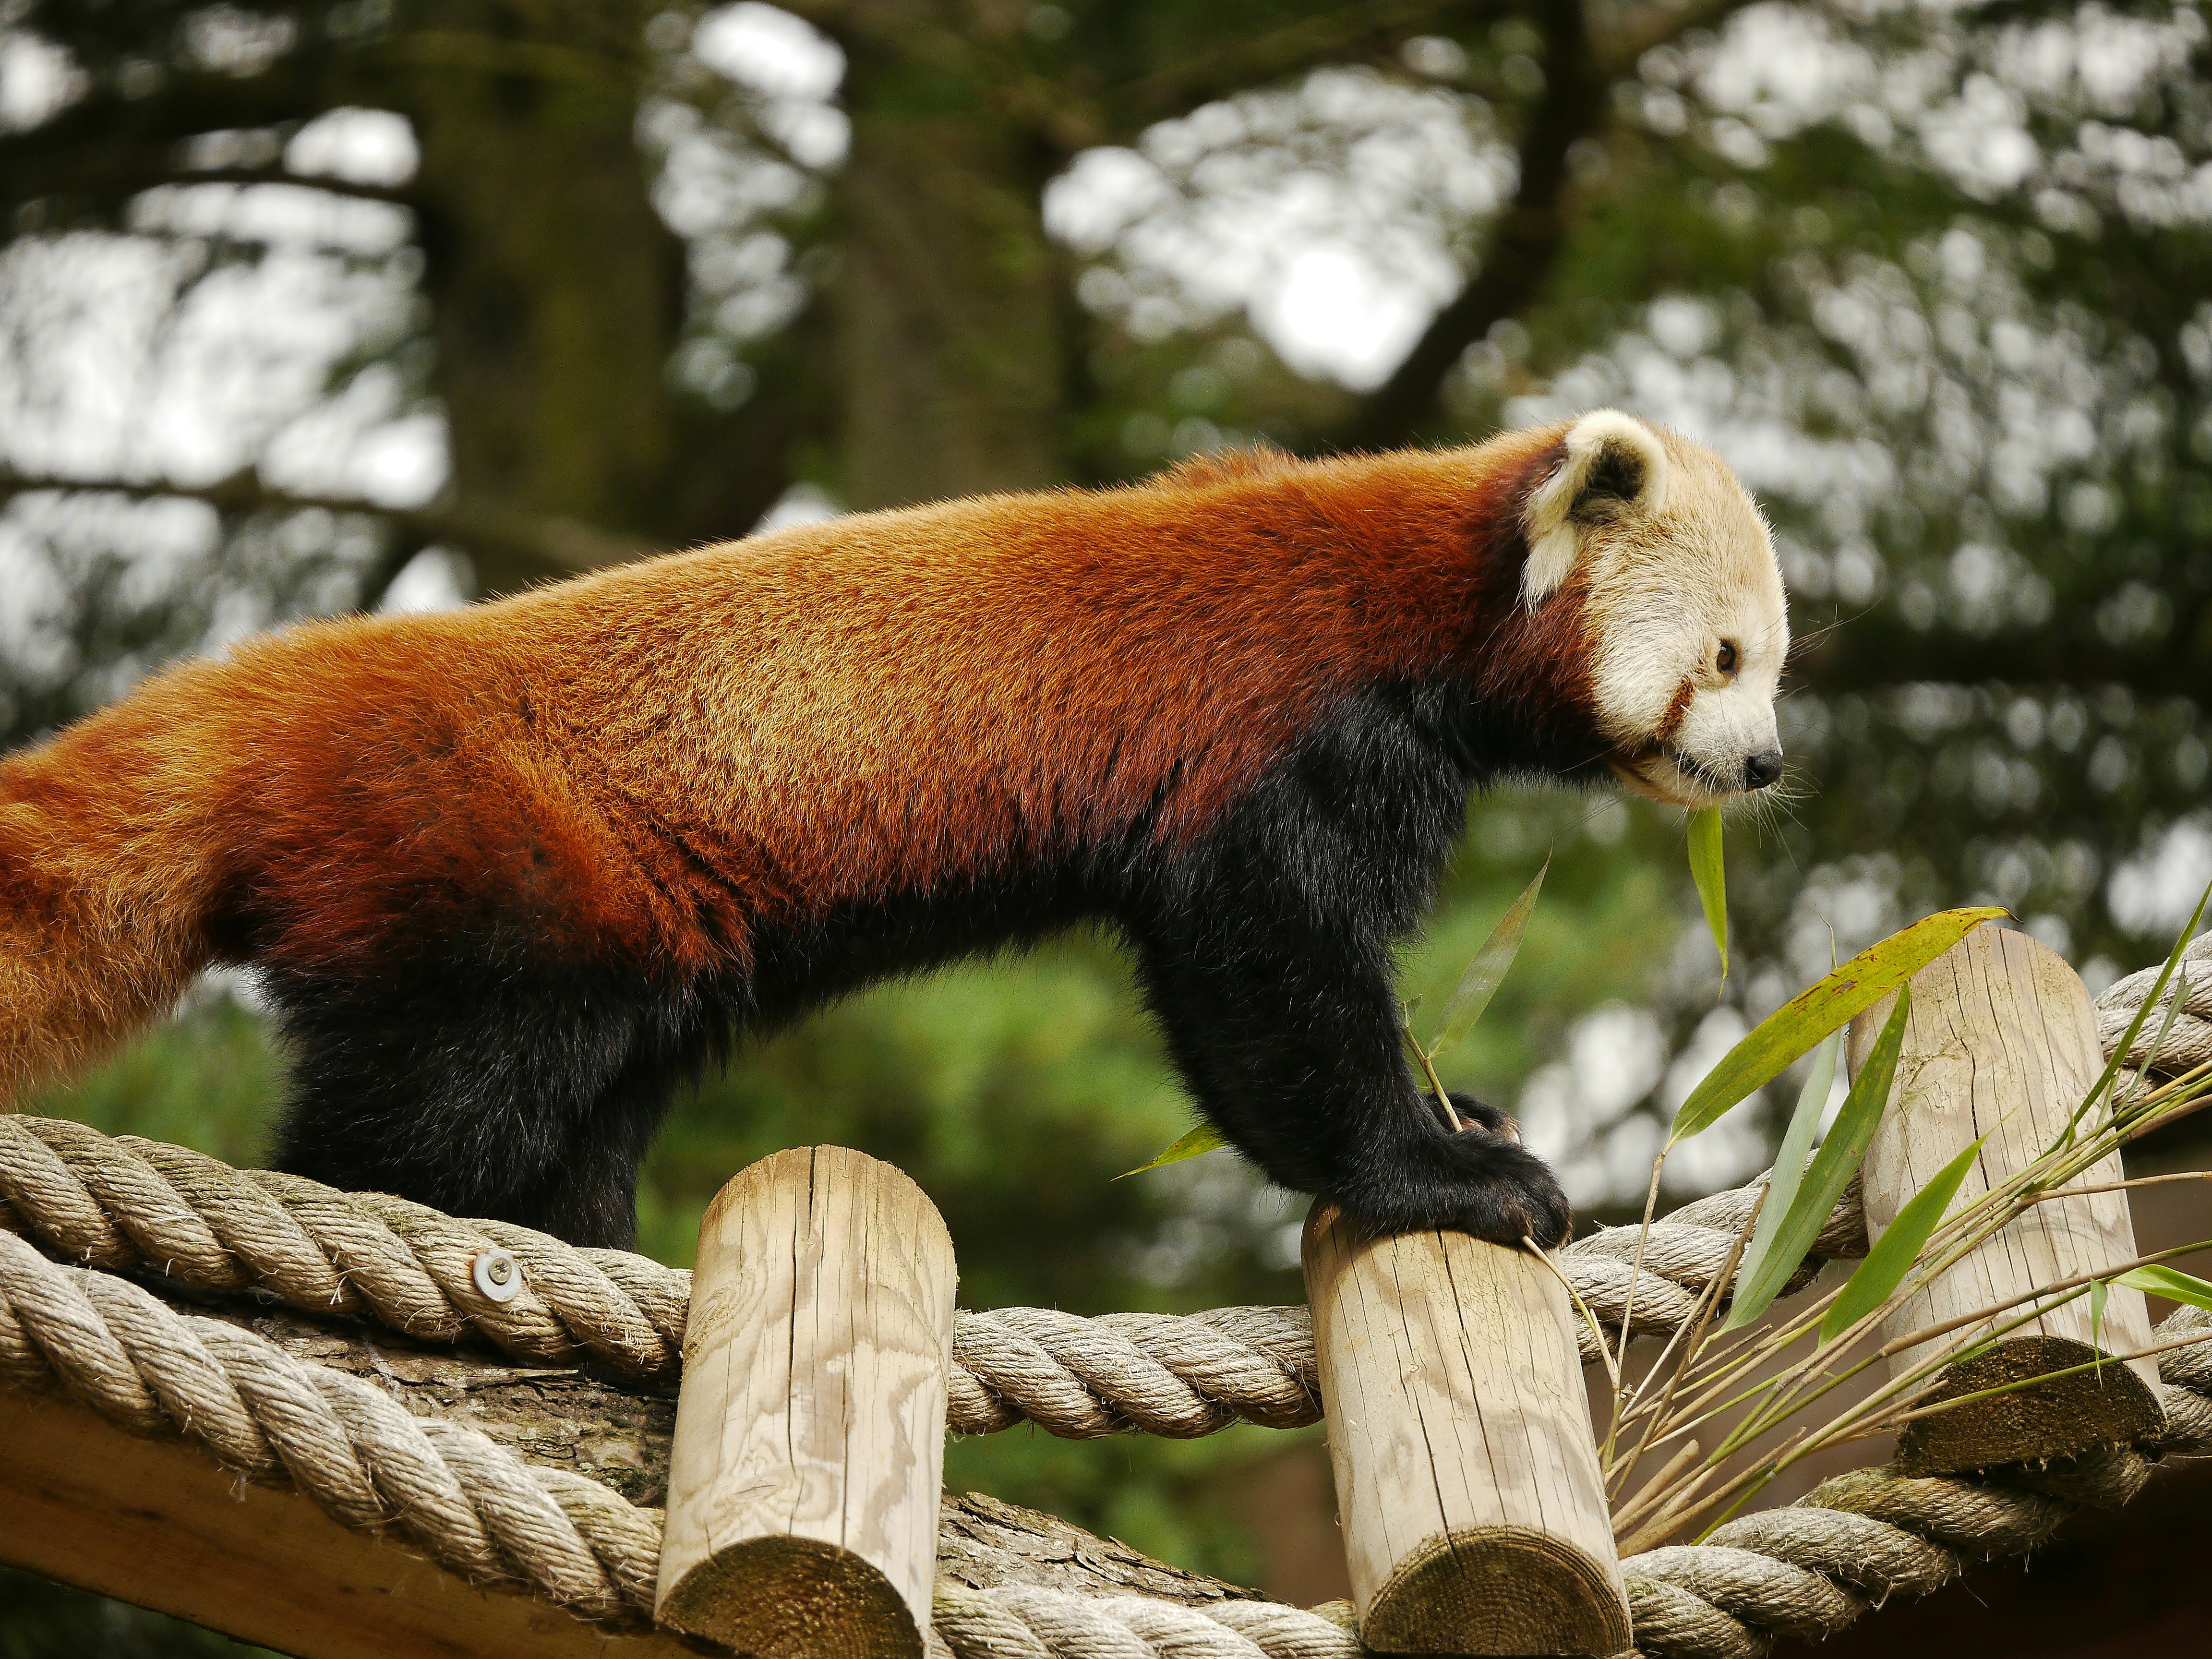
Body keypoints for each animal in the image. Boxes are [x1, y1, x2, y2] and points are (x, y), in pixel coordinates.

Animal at [0, 410, 1788, 1250]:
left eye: (1776, 662)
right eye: (1725, 659)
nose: (1767, 765)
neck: (1425, 595)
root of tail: (278, 690)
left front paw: (1457, 1109)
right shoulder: (1280, 742)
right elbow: (1268, 987)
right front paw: (1442, 1168)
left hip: (617, 936)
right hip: (481, 866)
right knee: (440, 1108)